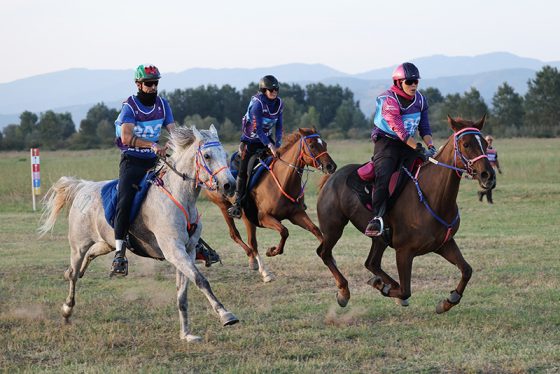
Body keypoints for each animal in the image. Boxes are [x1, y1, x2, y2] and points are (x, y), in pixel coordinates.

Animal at [38, 125, 240, 342]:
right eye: (208, 156)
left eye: (225, 155)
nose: (230, 185)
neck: (179, 196)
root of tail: (83, 186)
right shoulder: (174, 251)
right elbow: (201, 280)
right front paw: (226, 315)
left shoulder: (188, 251)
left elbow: (183, 293)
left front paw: (186, 334)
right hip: (78, 245)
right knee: (73, 274)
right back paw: (67, 310)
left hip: (106, 243)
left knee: (88, 258)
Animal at [206, 127, 336, 282]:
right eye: (311, 145)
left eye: (325, 144)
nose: (331, 166)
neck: (282, 181)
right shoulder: (264, 218)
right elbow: (284, 231)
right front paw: (272, 251)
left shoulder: (296, 214)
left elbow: (316, 230)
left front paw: (330, 257)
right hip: (226, 208)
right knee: (242, 238)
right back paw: (263, 270)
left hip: (246, 217)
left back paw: (253, 261)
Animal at [316, 116, 494, 312]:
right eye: (466, 144)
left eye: (485, 143)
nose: (488, 175)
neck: (432, 198)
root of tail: (331, 178)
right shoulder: (404, 252)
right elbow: (405, 290)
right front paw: (383, 287)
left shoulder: (444, 244)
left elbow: (467, 270)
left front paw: (448, 301)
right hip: (333, 229)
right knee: (324, 253)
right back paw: (344, 292)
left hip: (379, 239)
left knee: (371, 262)